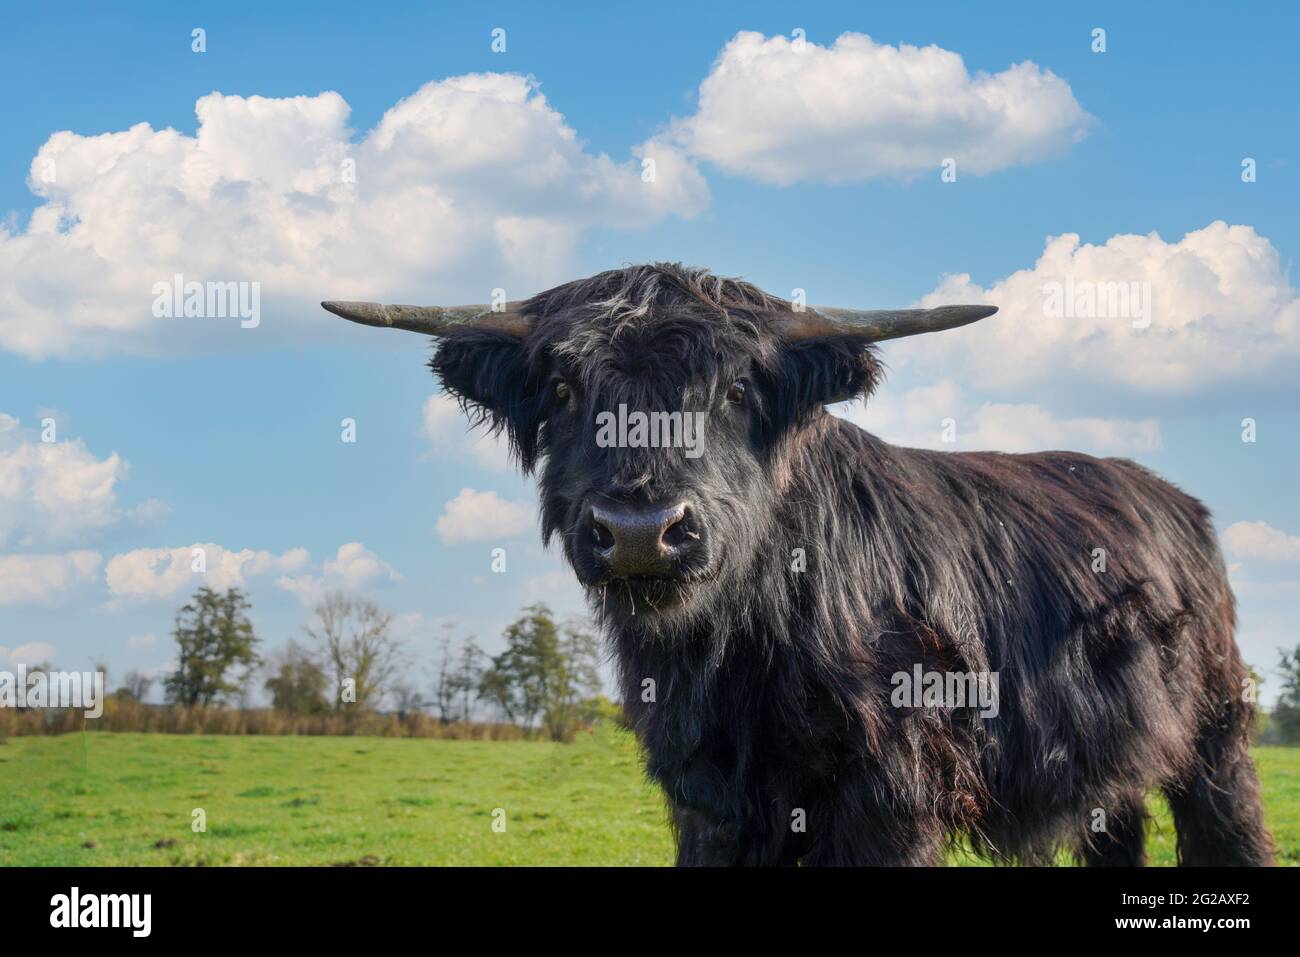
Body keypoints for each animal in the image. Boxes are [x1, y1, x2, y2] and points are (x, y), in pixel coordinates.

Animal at [322, 263, 1273, 866]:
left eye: (737, 391)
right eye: (562, 390)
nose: (639, 528)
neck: (737, 648)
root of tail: (1172, 499)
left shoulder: (890, 792)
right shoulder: (706, 797)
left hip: (1217, 733)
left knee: (1229, 829)